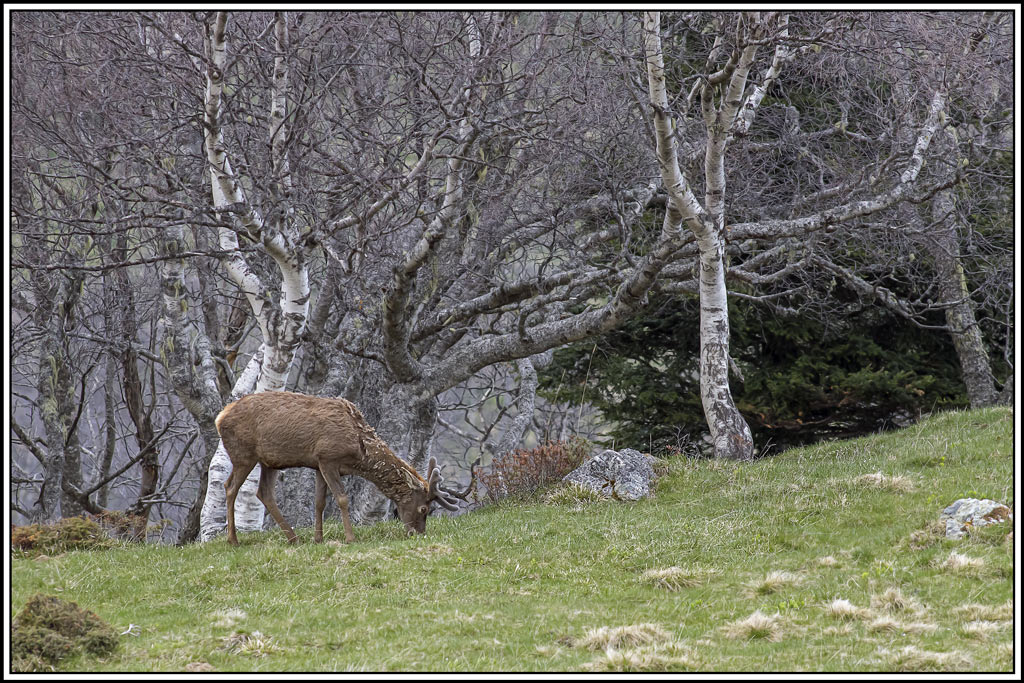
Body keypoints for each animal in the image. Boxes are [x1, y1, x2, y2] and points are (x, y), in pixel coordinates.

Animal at [214, 391, 475, 546]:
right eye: (424, 509)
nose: (418, 534)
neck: (359, 451)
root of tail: (219, 417)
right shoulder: (328, 457)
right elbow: (341, 498)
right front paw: (351, 538)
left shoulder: (318, 464)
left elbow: (319, 502)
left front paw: (318, 539)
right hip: (243, 454)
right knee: (229, 487)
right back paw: (233, 540)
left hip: (270, 460)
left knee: (263, 492)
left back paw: (294, 538)